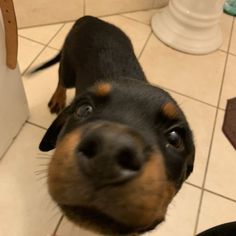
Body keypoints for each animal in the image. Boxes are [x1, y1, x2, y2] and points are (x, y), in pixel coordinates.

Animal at [32, 16, 195, 234]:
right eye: (84, 109)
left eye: (175, 137)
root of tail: (89, 18)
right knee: (61, 80)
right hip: (68, 66)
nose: (107, 153)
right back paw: (58, 98)